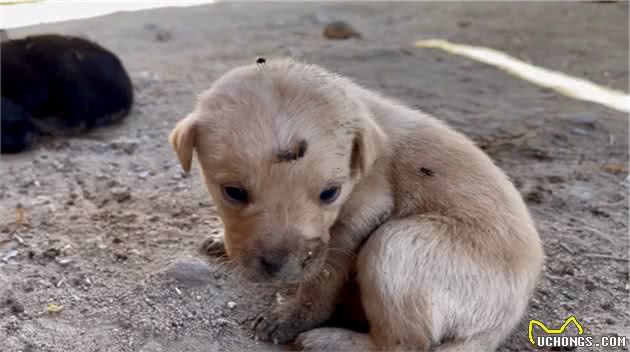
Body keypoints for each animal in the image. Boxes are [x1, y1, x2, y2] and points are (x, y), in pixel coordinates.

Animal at [168, 59, 544, 350]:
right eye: (233, 192)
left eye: (330, 193)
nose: (281, 270)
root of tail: (504, 321)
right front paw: (220, 239)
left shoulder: (366, 211)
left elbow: (323, 277)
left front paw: (291, 316)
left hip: (396, 245)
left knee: (403, 344)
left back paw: (329, 341)